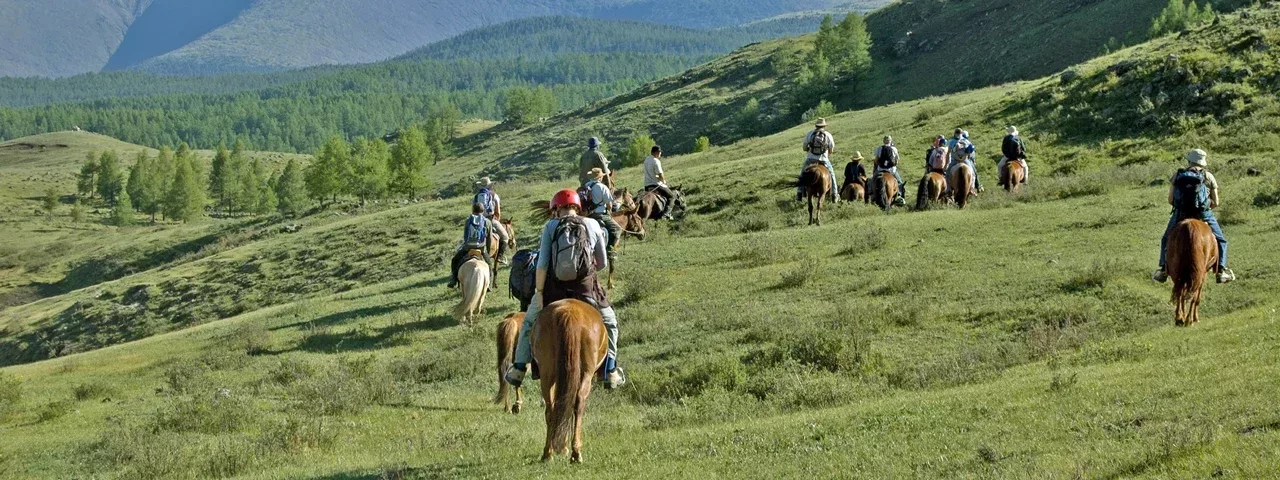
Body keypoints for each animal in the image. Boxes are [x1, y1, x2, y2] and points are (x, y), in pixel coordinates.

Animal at [532, 299, 608, 463]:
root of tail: (569, 313)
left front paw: (561, 446)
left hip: (547, 373)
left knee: (552, 408)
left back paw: (548, 453)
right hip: (586, 373)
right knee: (579, 402)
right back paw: (576, 453)